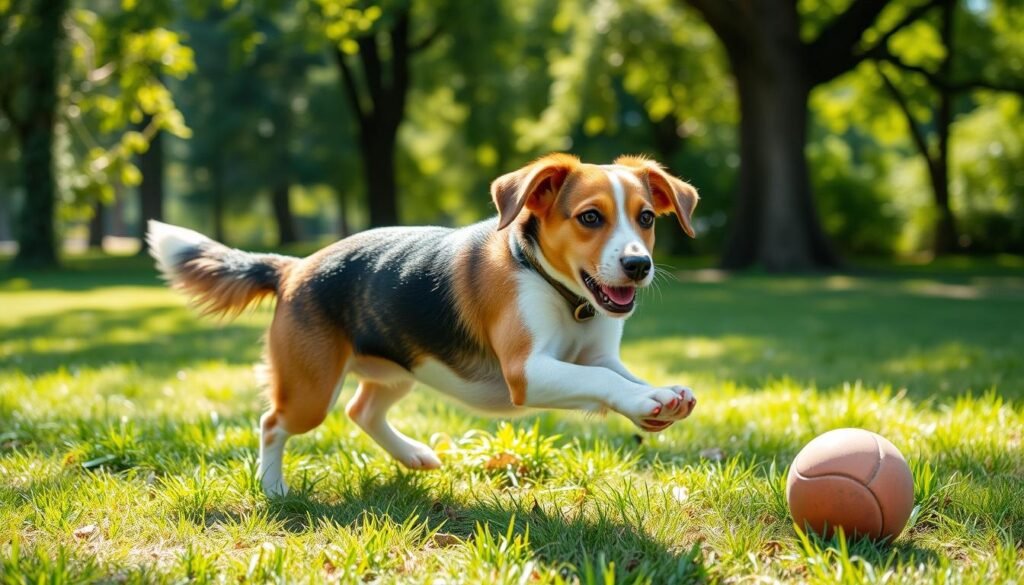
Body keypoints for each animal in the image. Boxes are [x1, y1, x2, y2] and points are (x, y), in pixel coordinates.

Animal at [148, 152, 700, 493]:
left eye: (645, 218)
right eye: (590, 218)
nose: (638, 265)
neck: (560, 290)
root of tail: (293, 268)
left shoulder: (598, 352)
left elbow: (616, 372)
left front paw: (662, 396)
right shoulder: (527, 370)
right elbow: (602, 380)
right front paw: (644, 401)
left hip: (401, 369)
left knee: (362, 410)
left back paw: (413, 456)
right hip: (309, 391)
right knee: (272, 424)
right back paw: (274, 487)